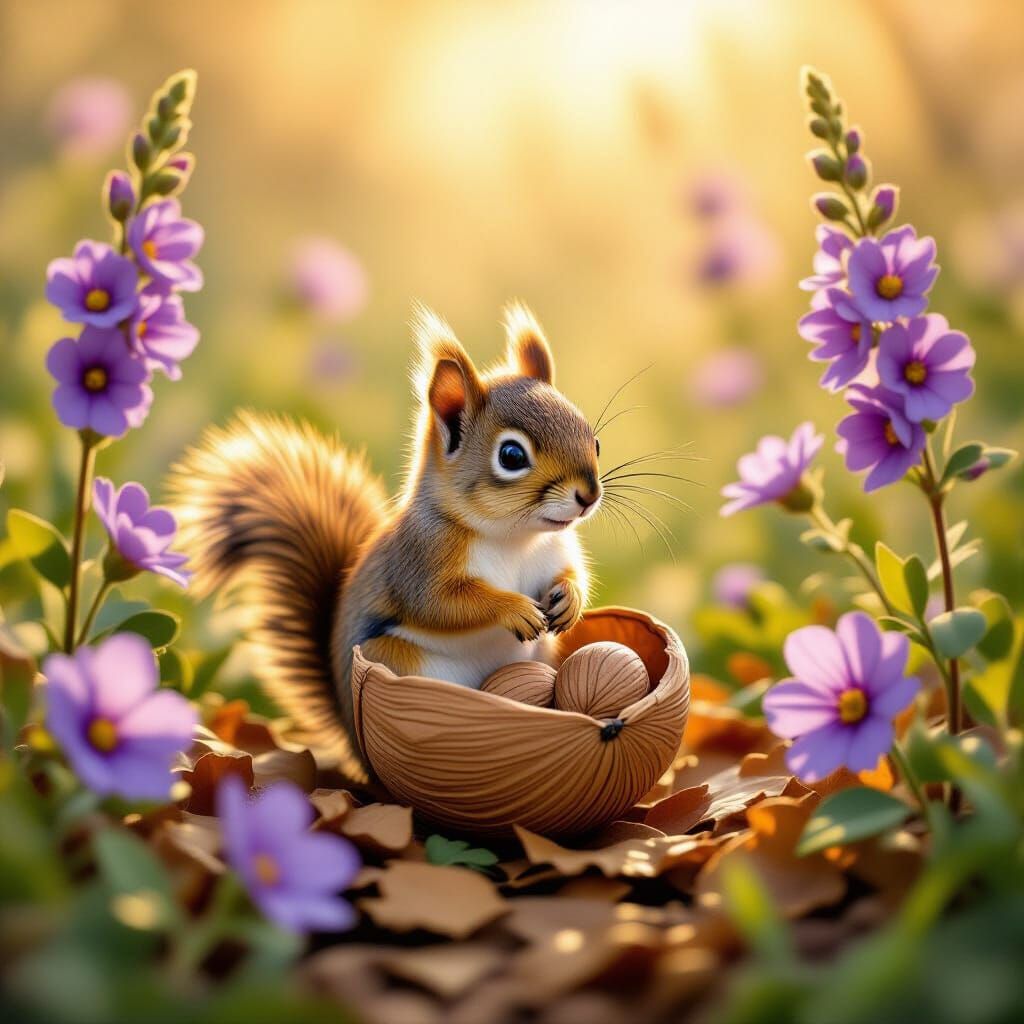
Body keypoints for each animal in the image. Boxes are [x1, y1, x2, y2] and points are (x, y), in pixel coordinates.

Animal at [170, 303, 603, 780]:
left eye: (594, 438)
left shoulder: (556, 551)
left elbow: (571, 574)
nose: (588, 496)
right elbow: (442, 603)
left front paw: (570, 599)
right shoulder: (419, 560)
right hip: (400, 663)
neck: (515, 537)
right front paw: (513, 609)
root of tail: (351, 744)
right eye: (511, 456)